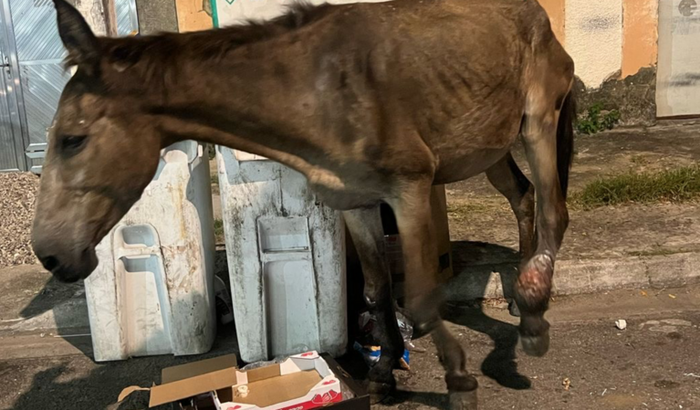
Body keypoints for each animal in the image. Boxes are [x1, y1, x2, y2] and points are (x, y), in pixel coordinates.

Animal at [31, 0, 575, 408]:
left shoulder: (411, 190)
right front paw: (383, 372)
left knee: (553, 210)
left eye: (73, 139)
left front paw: (459, 379)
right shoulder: (356, 201)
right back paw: (520, 295)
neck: (320, 93)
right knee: (523, 198)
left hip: (537, 122)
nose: (50, 254)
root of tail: (537, 14)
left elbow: (420, 298)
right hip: (490, 148)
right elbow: (377, 290)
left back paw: (532, 314)